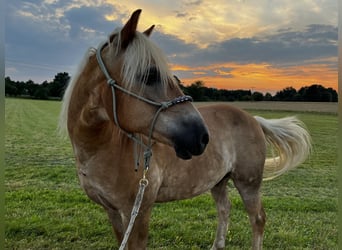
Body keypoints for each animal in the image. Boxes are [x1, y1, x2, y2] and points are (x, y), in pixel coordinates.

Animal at [60, 9, 312, 250]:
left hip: (248, 183)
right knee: (225, 209)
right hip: (219, 181)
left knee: (257, 218)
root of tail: (253, 119)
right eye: (149, 75)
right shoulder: (112, 212)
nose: (201, 137)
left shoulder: (138, 212)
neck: (101, 150)